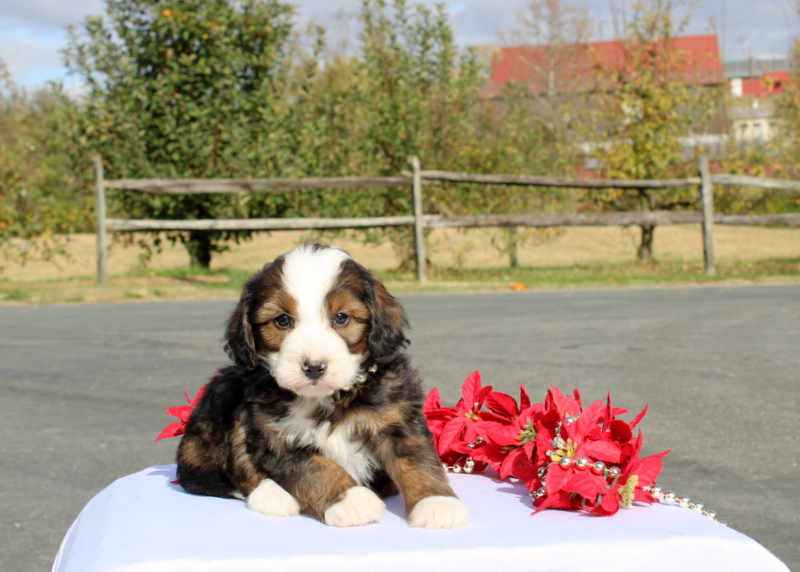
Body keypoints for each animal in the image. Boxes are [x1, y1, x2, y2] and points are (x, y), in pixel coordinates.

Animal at [175, 241, 468, 528]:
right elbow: (318, 468)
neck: (328, 398)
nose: (314, 366)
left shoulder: (396, 417)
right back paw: (272, 496)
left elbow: (417, 459)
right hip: (226, 396)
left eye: (341, 317)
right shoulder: (276, 437)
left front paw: (437, 503)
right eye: (282, 320)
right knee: (239, 464)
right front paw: (351, 501)